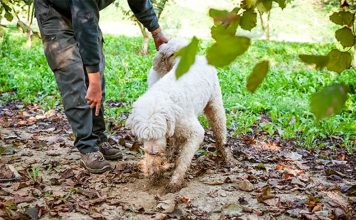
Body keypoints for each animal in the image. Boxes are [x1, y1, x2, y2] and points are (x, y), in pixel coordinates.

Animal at [126, 39, 235, 192]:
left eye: (158, 134)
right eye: (144, 136)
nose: (153, 152)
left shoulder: (195, 133)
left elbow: (184, 159)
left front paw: (175, 181)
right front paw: (155, 172)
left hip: (215, 105)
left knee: (220, 131)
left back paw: (226, 155)